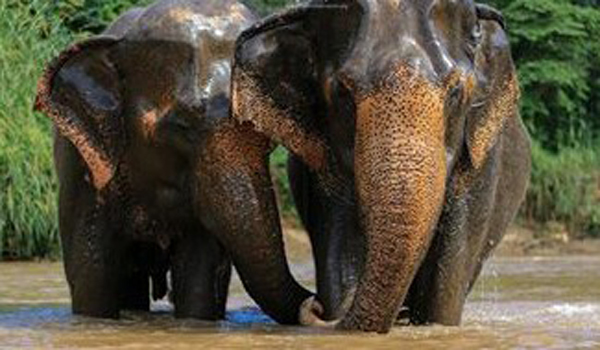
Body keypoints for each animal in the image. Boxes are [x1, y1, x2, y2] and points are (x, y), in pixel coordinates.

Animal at [32, 0, 314, 324]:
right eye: (182, 127)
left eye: (265, 136)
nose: (315, 306)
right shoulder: (83, 169)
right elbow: (92, 276)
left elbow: (198, 277)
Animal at [232, 0, 532, 334]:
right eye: (342, 93)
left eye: (456, 93)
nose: (316, 307)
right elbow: (339, 244)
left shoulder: (481, 164)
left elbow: (446, 286)